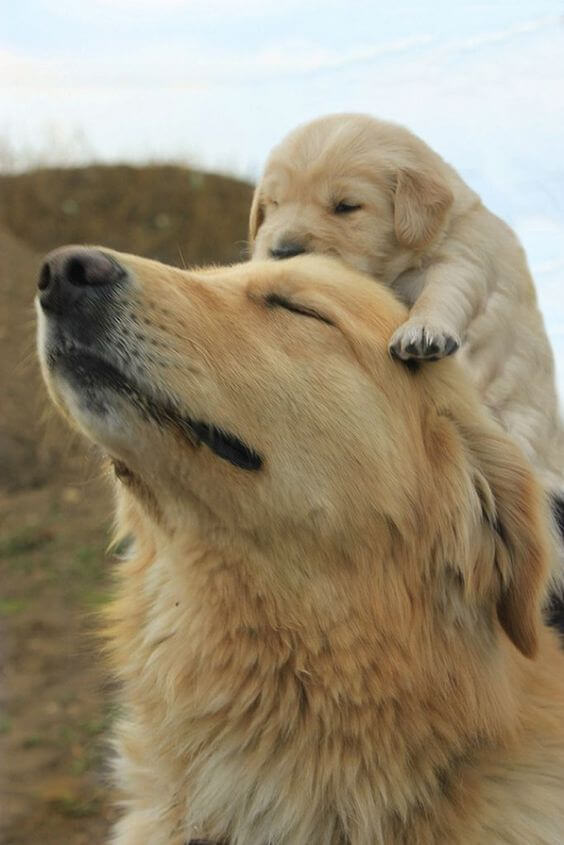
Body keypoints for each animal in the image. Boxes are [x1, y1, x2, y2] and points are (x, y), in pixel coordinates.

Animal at [251, 114, 564, 504]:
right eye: (274, 203)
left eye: (346, 206)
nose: (282, 251)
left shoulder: (463, 257)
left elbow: (443, 292)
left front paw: (424, 331)